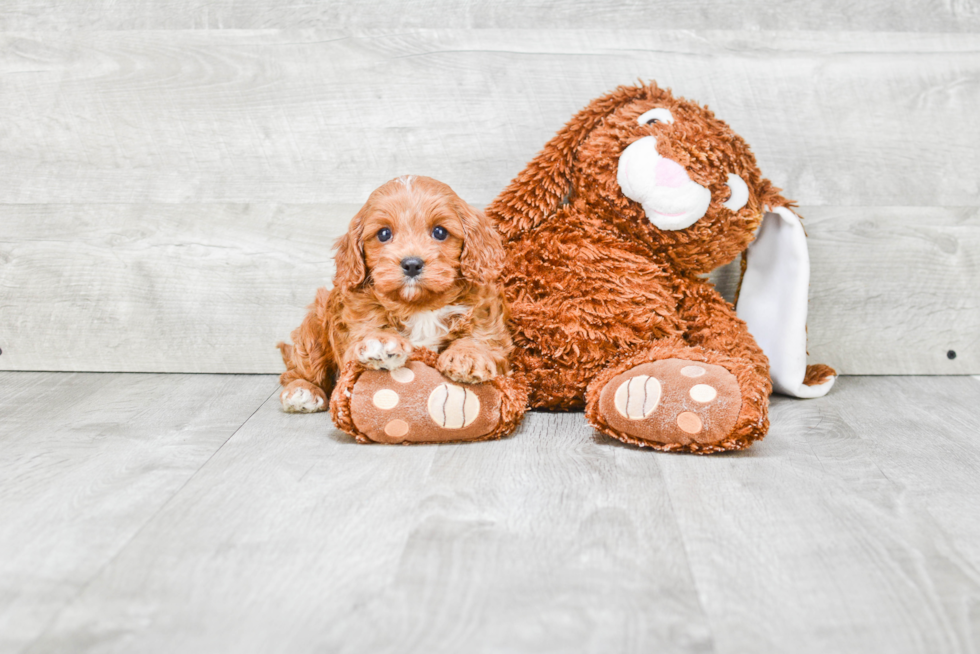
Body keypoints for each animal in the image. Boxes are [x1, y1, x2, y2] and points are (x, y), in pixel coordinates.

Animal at [272, 177, 510, 412]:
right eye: (384, 234)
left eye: (440, 232)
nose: (412, 264)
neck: (419, 306)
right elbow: (369, 334)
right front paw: (381, 341)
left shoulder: (487, 322)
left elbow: (481, 339)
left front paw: (468, 355)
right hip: (314, 327)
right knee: (298, 370)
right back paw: (303, 391)